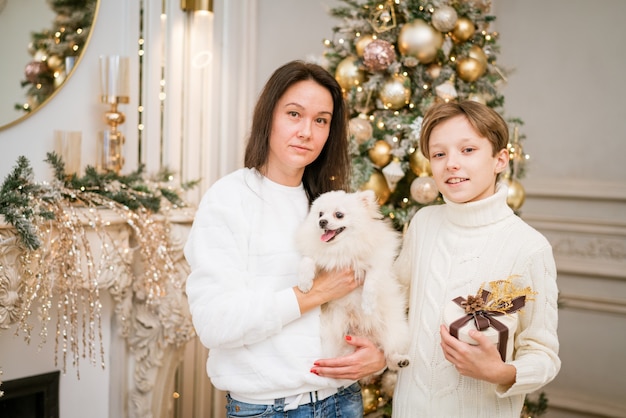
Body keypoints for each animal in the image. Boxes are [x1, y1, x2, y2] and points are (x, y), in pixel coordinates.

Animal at [296, 190, 412, 372]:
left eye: (339, 215)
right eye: (320, 214)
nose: (322, 222)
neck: (341, 248)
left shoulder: (378, 263)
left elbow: (371, 280)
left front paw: (368, 304)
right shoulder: (321, 258)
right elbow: (308, 260)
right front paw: (305, 282)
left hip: (393, 330)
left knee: (388, 352)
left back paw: (400, 360)